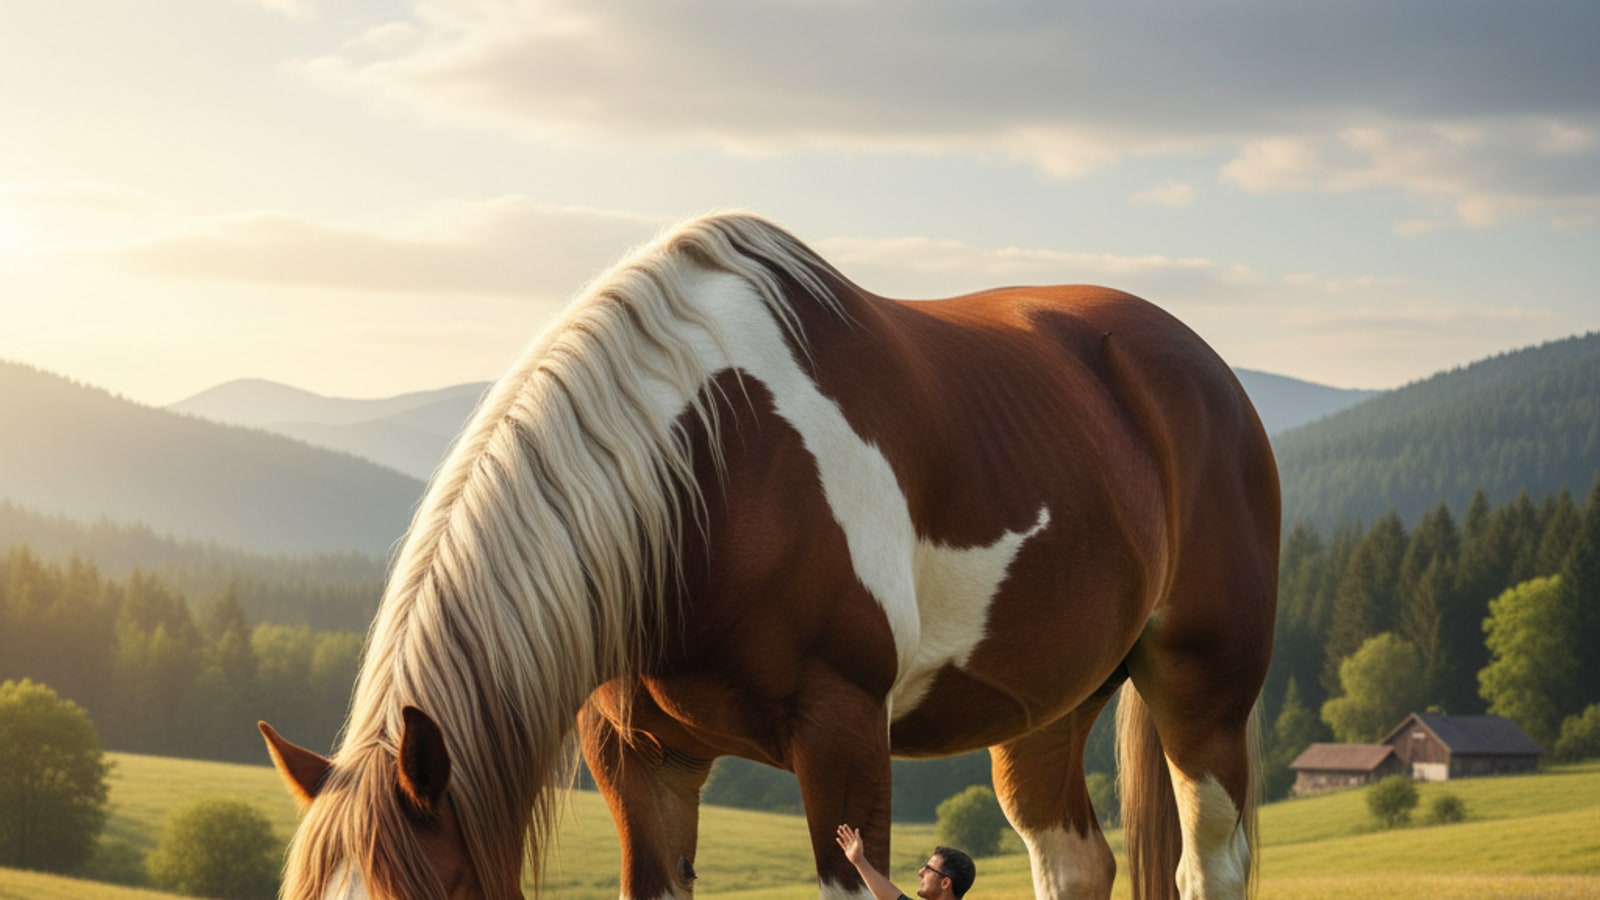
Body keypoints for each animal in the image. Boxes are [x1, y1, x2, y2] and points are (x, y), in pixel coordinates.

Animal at [259, 212, 1279, 900]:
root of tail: (1205, 372)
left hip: (1203, 692)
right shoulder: (641, 760)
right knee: (1074, 861)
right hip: (1047, 709)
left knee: (1209, 864)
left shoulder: (842, 732)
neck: (704, 479)